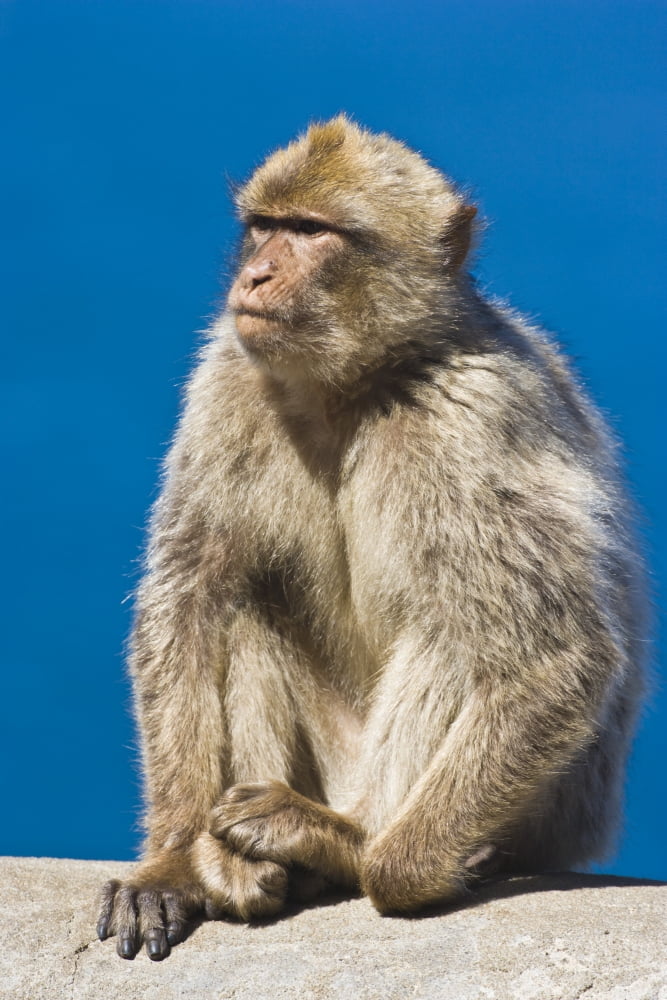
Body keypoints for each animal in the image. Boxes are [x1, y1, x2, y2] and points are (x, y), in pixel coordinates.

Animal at [97, 116, 647, 961]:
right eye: (265, 226)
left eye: (311, 233)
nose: (255, 274)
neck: (353, 383)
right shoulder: (225, 376)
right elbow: (187, 602)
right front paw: (171, 863)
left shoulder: (476, 411)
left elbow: (556, 653)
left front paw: (389, 868)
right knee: (242, 606)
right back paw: (242, 866)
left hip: (544, 816)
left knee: (463, 625)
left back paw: (340, 841)